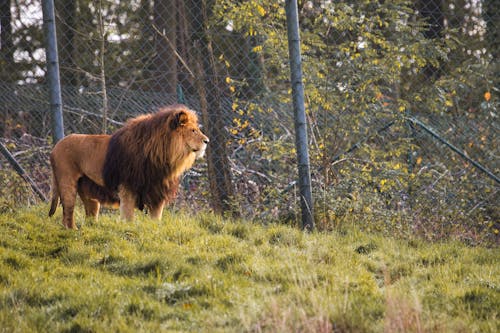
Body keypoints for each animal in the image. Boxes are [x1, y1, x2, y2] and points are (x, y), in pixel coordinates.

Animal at [47, 105, 208, 230]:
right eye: (193, 130)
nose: (207, 141)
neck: (163, 156)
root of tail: (55, 146)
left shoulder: (157, 192)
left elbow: (156, 219)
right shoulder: (128, 188)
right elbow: (128, 216)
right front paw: (128, 229)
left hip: (88, 192)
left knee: (89, 216)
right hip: (67, 183)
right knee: (67, 213)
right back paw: (73, 231)